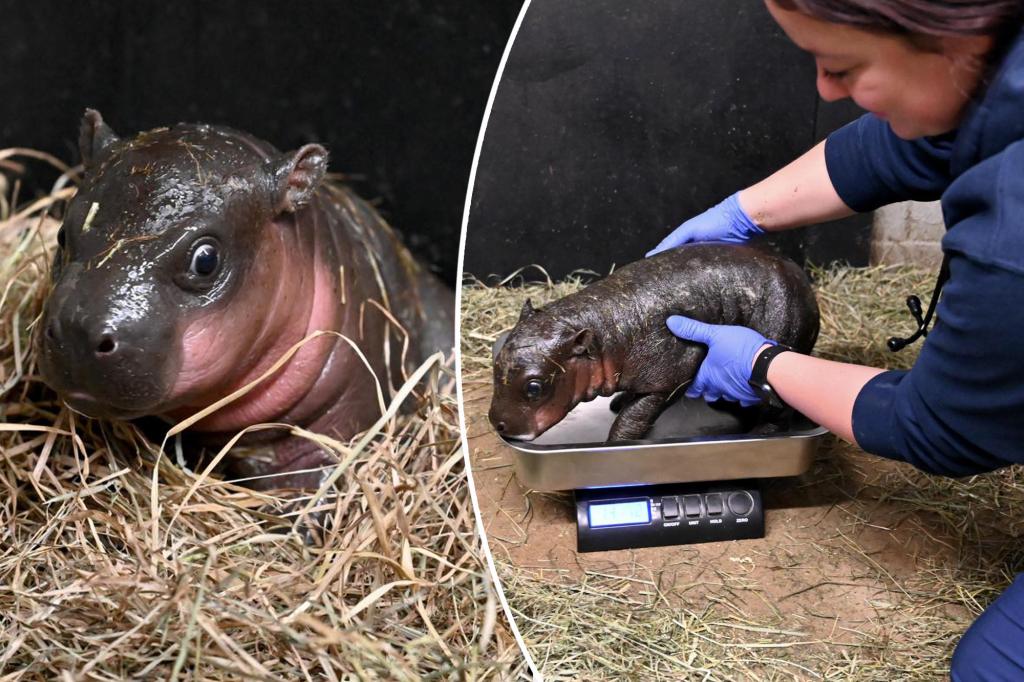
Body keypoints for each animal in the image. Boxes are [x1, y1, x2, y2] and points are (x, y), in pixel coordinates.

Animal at [491, 244, 819, 440]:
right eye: (495, 364)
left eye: (535, 387)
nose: (497, 423)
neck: (603, 329)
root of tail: (804, 282)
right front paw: (618, 402)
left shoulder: (670, 374)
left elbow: (635, 416)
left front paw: (614, 442)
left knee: (779, 408)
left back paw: (763, 432)